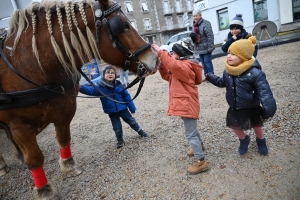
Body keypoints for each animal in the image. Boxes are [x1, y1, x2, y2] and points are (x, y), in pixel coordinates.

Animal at [0, 0, 158, 198]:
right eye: (124, 26)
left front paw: (69, 166)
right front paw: (44, 190)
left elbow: (64, 139)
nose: (155, 59)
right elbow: (35, 159)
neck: (32, 64)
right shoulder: (19, 126)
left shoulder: (65, 111)